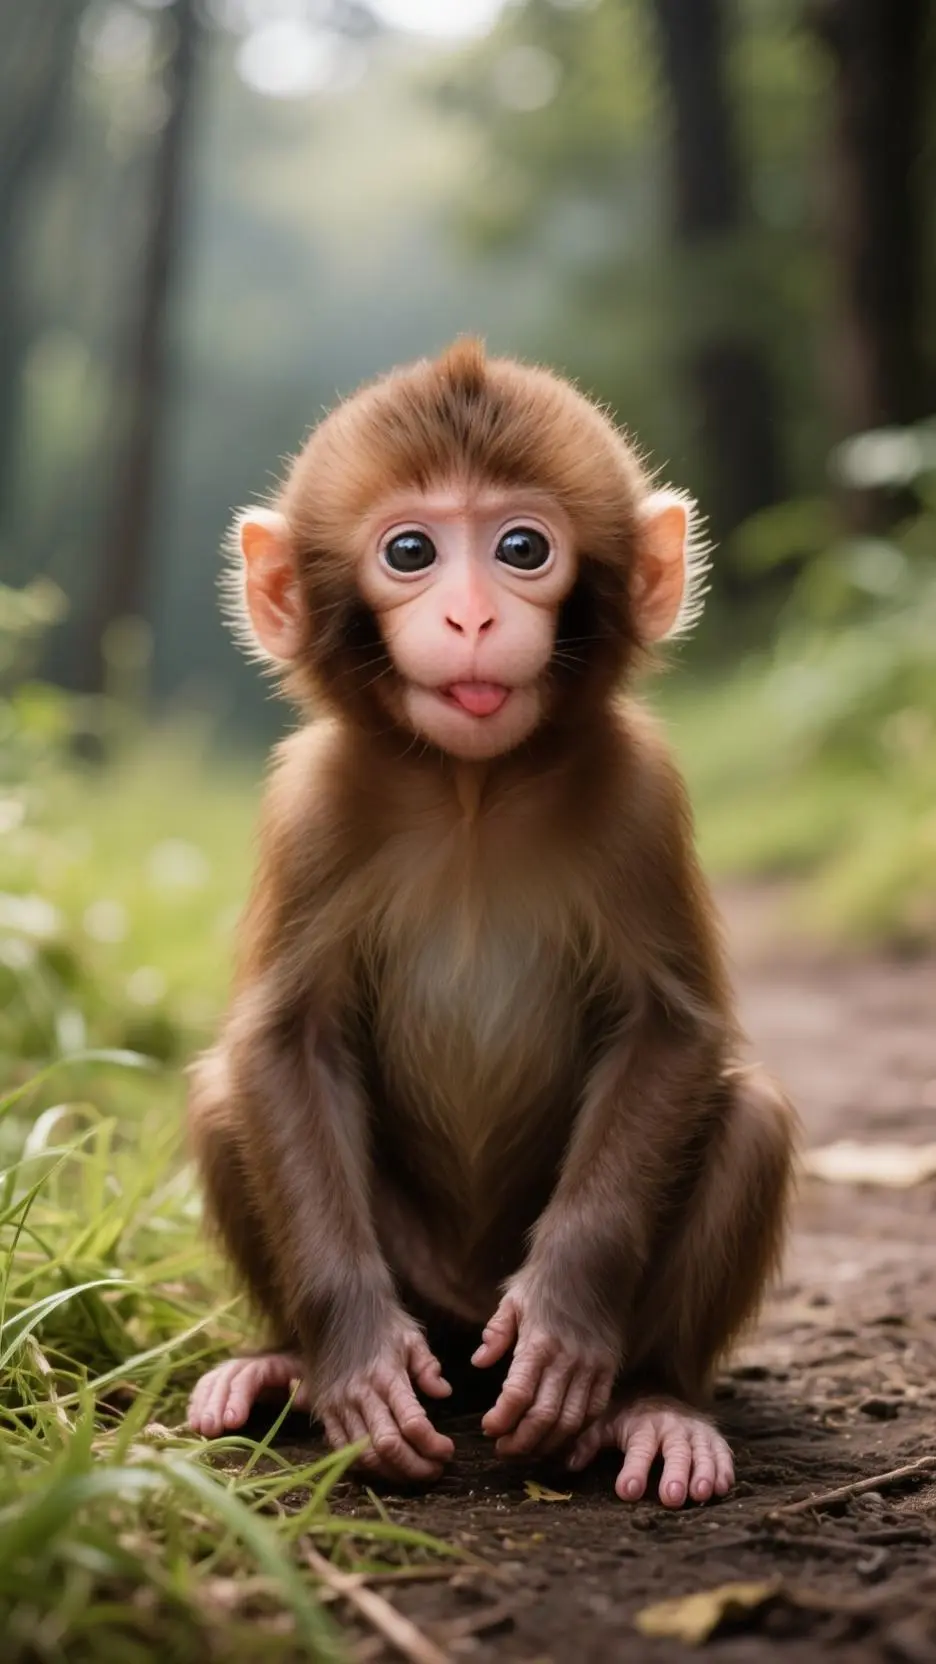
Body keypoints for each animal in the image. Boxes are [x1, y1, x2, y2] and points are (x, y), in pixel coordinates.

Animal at [186, 338, 795, 1508]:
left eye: (522, 547)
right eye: (411, 550)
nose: (470, 616)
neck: (472, 792)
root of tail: (465, 1319)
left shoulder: (639, 796)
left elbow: (672, 1030)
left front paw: (563, 1326)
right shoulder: (313, 805)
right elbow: (284, 1043)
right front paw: (357, 1361)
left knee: (752, 1115)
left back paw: (655, 1402)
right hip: (425, 1287)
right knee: (220, 1093)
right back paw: (284, 1363)